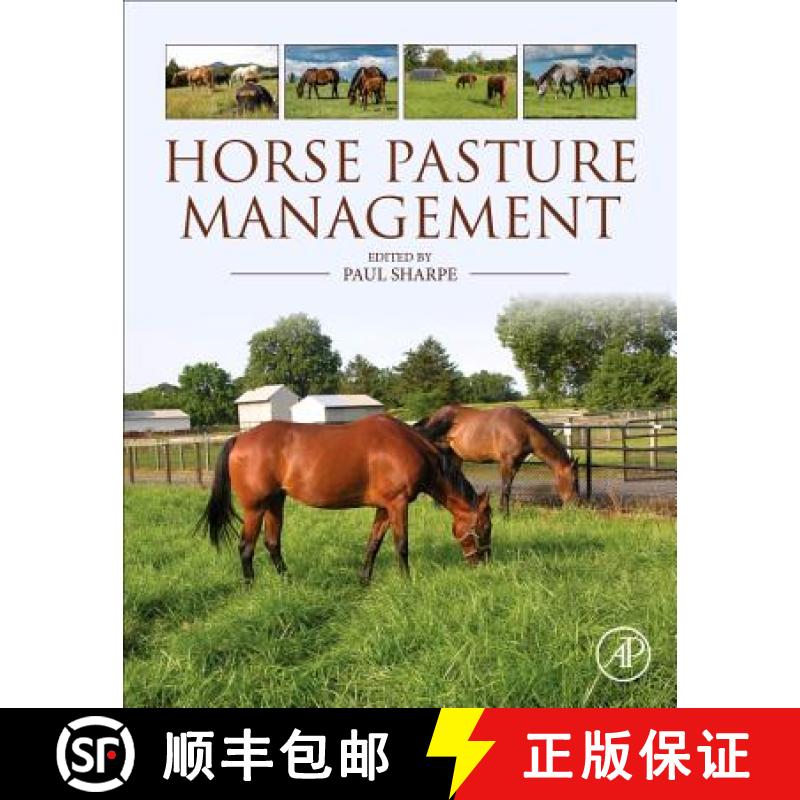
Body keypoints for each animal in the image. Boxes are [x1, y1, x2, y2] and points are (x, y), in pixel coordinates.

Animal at [197, 414, 492, 585]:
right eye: (485, 528)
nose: (485, 565)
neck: (409, 446)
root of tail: (239, 438)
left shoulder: (384, 507)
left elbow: (373, 544)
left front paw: (364, 580)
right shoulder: (397, 504)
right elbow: (401, 546)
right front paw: (407, 582)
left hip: (275, 502)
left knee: (272, 543)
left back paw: (288, 581)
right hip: (255, 508)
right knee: (246, 547)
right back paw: (250, 587)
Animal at [414, 404, 579, 516]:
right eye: (574, 481)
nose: (575, 504)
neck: (523, 429)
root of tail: (432, 417)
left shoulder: (516, 464)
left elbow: (509, 487)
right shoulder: (506, 461)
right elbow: (505, 487)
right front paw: (504, 514)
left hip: (456, 456)